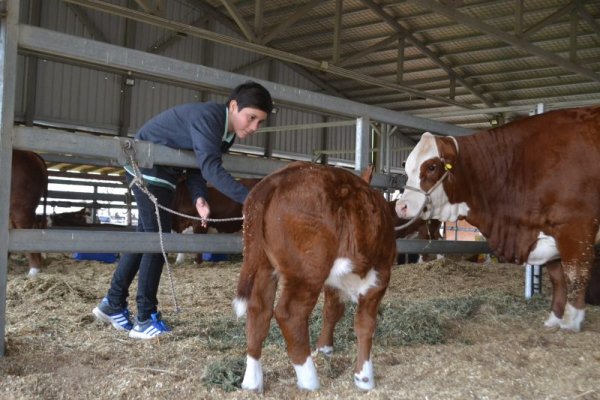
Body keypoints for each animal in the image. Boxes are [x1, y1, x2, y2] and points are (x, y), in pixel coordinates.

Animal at [232, 162, 396, 390]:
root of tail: (275, 179)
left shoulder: (334, 283)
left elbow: (332, 310)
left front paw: (325, 348)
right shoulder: (379, 276)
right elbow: (365, 324)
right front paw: (364, 378)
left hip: (263, 265)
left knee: (258, 311)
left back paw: (252, 381)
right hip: (307, 271)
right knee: (289, 314)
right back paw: (309, 379)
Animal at [396, 105, 596, 332]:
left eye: (431, 167)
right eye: (407, 168)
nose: (401, 206)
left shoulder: (575, 227)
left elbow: (575, 275)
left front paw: (571, 323)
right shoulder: (545, 232)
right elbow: (557, 278)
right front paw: (553, 319)